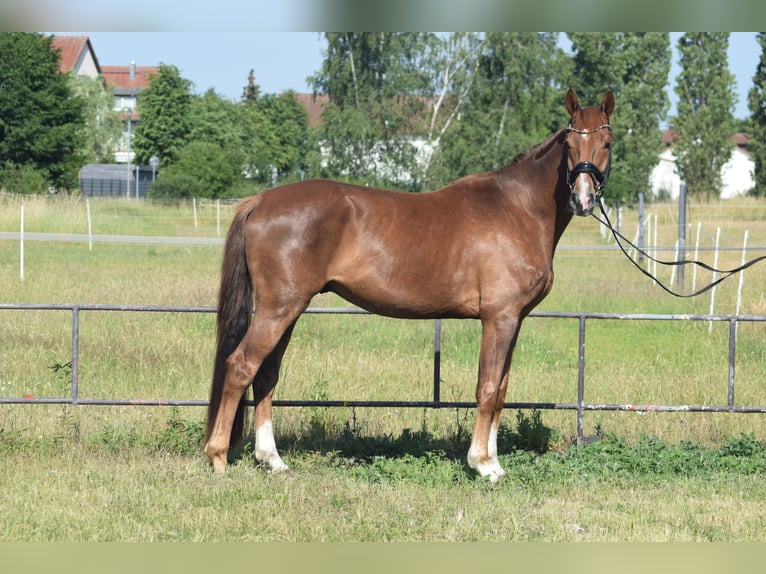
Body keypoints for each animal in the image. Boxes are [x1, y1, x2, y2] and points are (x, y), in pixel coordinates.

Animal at [204, 88, 615, 482]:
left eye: (607, 142)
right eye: (569, 144)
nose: (582, 199)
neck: (518, 208)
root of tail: (260, 200)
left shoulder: (514, 320)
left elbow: (500, 390)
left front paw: (495, 463)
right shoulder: (498, 318)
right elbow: (485, 388)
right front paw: (482, 464)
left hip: (287, 310)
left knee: (266, 374)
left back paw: (272, 460)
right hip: (278, 310)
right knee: (241, 366)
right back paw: (218, 457)